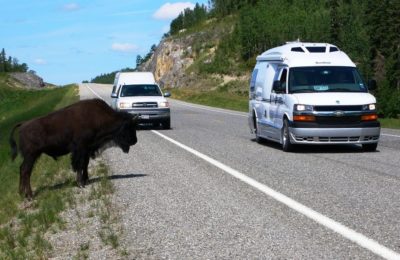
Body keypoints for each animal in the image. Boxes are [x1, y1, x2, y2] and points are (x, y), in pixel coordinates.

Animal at [9, 98, 138, 199]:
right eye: (129, 127)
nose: (135, 141)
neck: (98, 117)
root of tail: (23, 124)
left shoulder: (87, 149)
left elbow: (85, 164)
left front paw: (86, 180)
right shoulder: (81, 149)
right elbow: (79, 165)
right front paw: (80, 183)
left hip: (31, 156)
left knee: (22, 170)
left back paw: (21, 193)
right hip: (31, 155)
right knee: (26, 171)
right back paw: (29, 195)